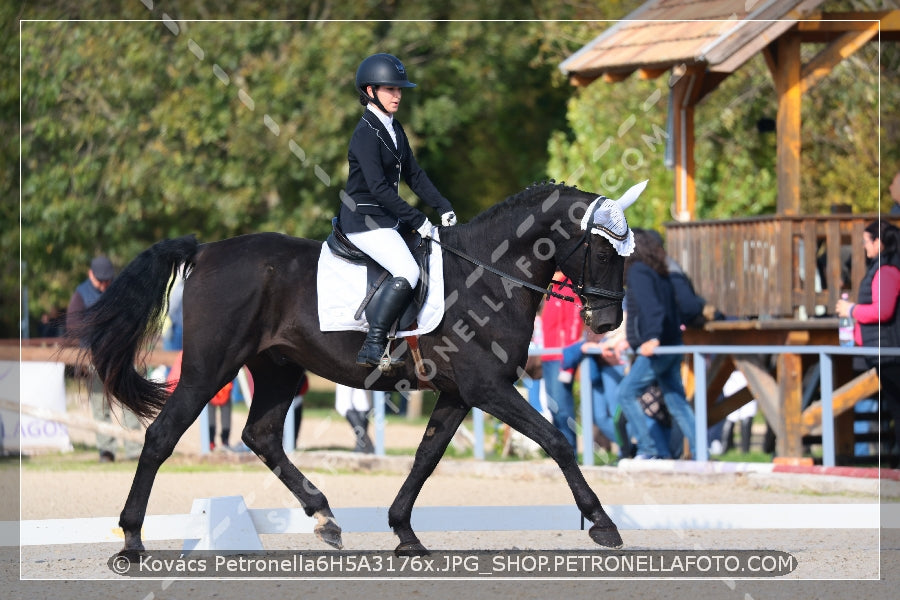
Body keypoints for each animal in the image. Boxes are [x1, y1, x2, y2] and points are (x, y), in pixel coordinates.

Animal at [75, 180, 640, 556]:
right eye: (603, 250)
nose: (608, 322)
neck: (487, 274)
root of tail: (207, 249)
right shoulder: (489, 388)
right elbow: (556, 440)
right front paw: (602, 522)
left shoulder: (460, 393)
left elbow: (426, 457)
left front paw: (404, 532)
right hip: (208, 370)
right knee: (161, 437)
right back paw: (131, 540)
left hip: (279, 369)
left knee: (262, 436)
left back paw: (324, 517)